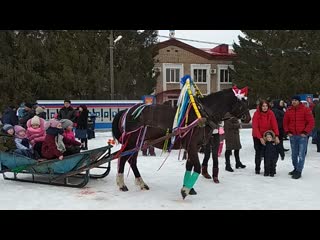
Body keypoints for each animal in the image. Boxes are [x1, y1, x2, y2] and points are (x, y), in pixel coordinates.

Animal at [111, 86, 251, 199]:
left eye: (246, 100)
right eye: (241, 102)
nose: (248, 118)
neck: (202, 115)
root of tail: (127, 111)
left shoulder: (193, 147)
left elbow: (189, 166)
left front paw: (189, 187)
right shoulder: (192, 146)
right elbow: (197, 167)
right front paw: (185, 190)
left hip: (138, 143)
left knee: (131, 161)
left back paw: (141, 183)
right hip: (132, 142)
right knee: (123, 159)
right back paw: (122, 184)